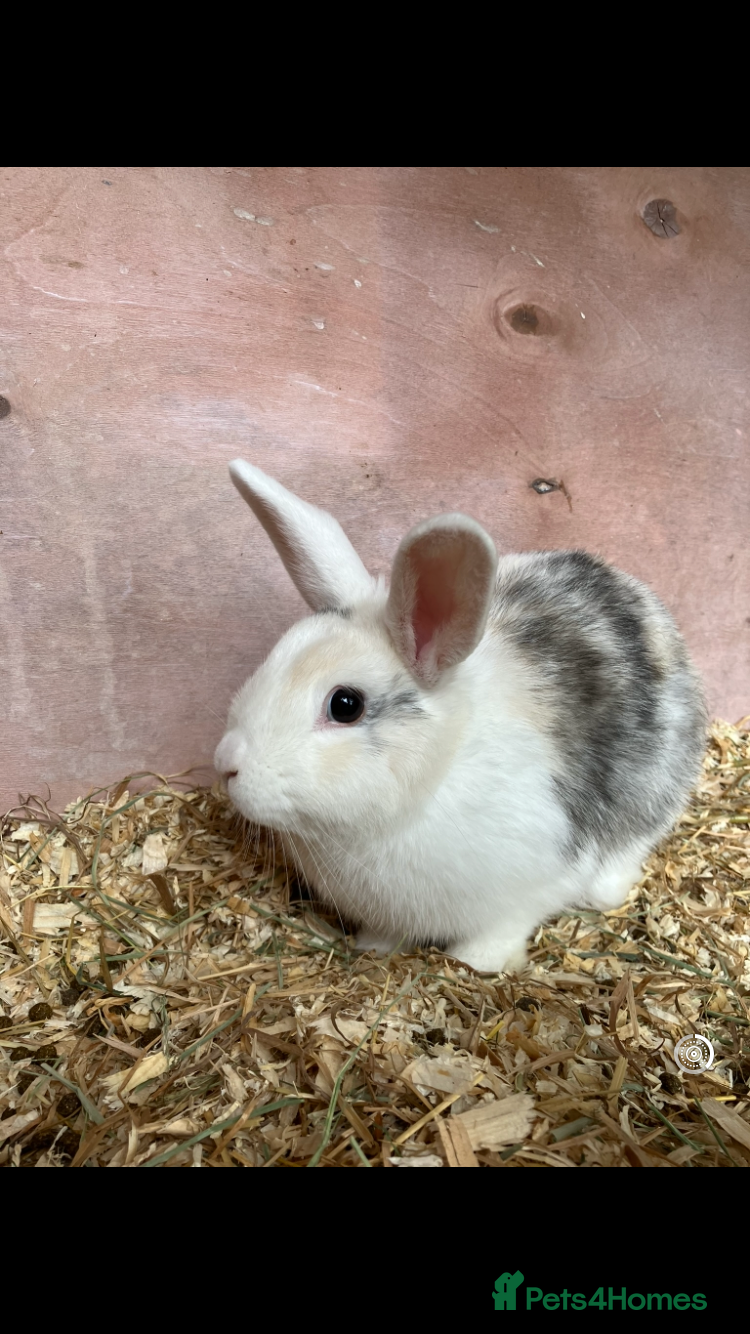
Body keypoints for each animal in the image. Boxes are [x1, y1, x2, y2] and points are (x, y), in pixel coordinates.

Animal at [214, 459, 707, 974]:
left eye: (345, 705)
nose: (226, 764)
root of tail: (633, 590)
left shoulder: (532, 887)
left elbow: (505, 928)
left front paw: (478, 963)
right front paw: (373, 947)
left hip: (654, 794)